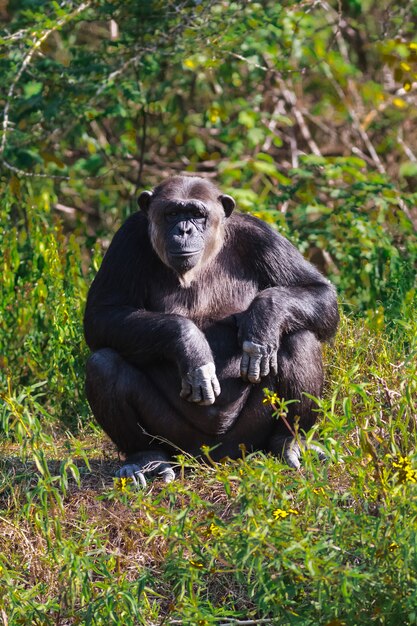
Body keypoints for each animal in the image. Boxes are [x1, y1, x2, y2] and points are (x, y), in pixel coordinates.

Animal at [83, 174, 338, 482]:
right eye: (172, 213)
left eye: (197, 214)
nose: (184, 230)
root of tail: (217, 458)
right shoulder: (126, 238)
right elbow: (102, 315)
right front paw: (191, 345)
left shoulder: (263, 238)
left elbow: (319, 291)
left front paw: (263, 320)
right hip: (178, 440)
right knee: (103, 363)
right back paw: (146, 458)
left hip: (249, 438)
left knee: (298, 338)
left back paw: (289, 442)